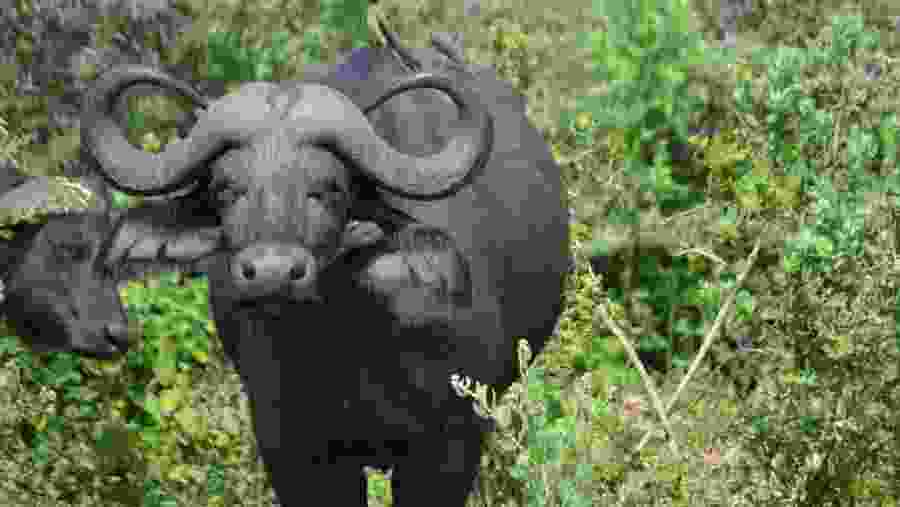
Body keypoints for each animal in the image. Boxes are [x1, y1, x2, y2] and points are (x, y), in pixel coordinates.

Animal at [77, 25, 569, 506]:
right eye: (225, 190)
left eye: (329, 189)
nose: (272, 273)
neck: (346, 345)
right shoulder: (290, 450)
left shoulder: (450, 446)